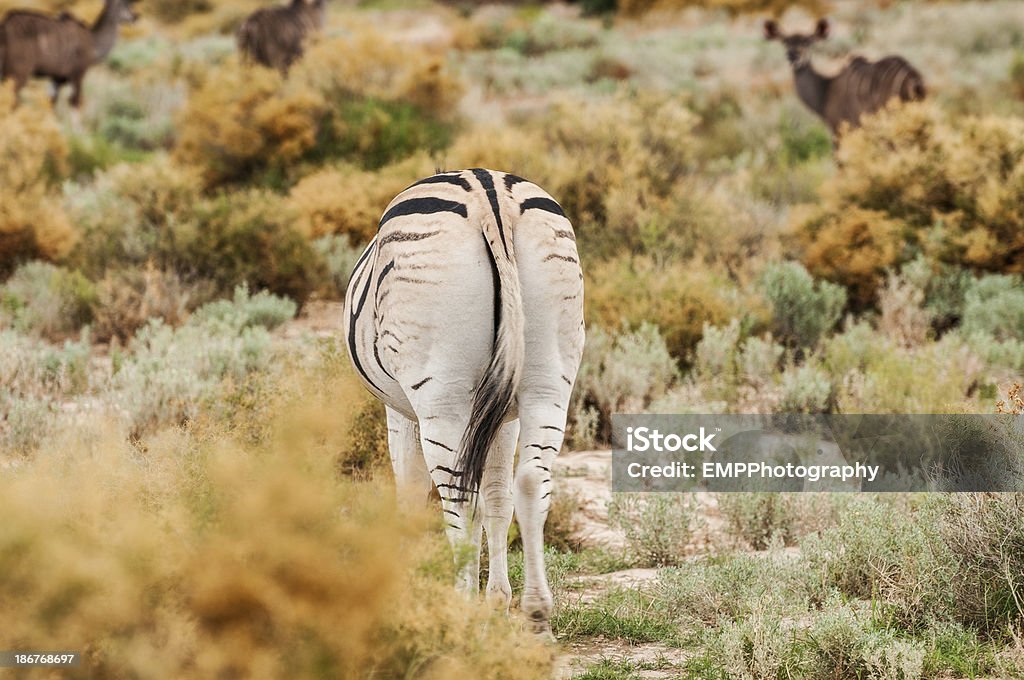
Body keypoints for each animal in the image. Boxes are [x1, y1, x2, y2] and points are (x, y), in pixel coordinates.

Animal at [0, 0, 138, 108]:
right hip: (19, 74)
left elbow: (52, 102)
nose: (136, 16)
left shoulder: (56, 78)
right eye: (125, 4)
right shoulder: (78, 74)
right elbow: (74, 102)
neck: (92, 42)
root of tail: (5, 28)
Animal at [765, 18, 925, 143]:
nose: (793, 56)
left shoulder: (839, 130)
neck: (826, 91)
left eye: (808, 42)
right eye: (785, 42)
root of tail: (914, 79)